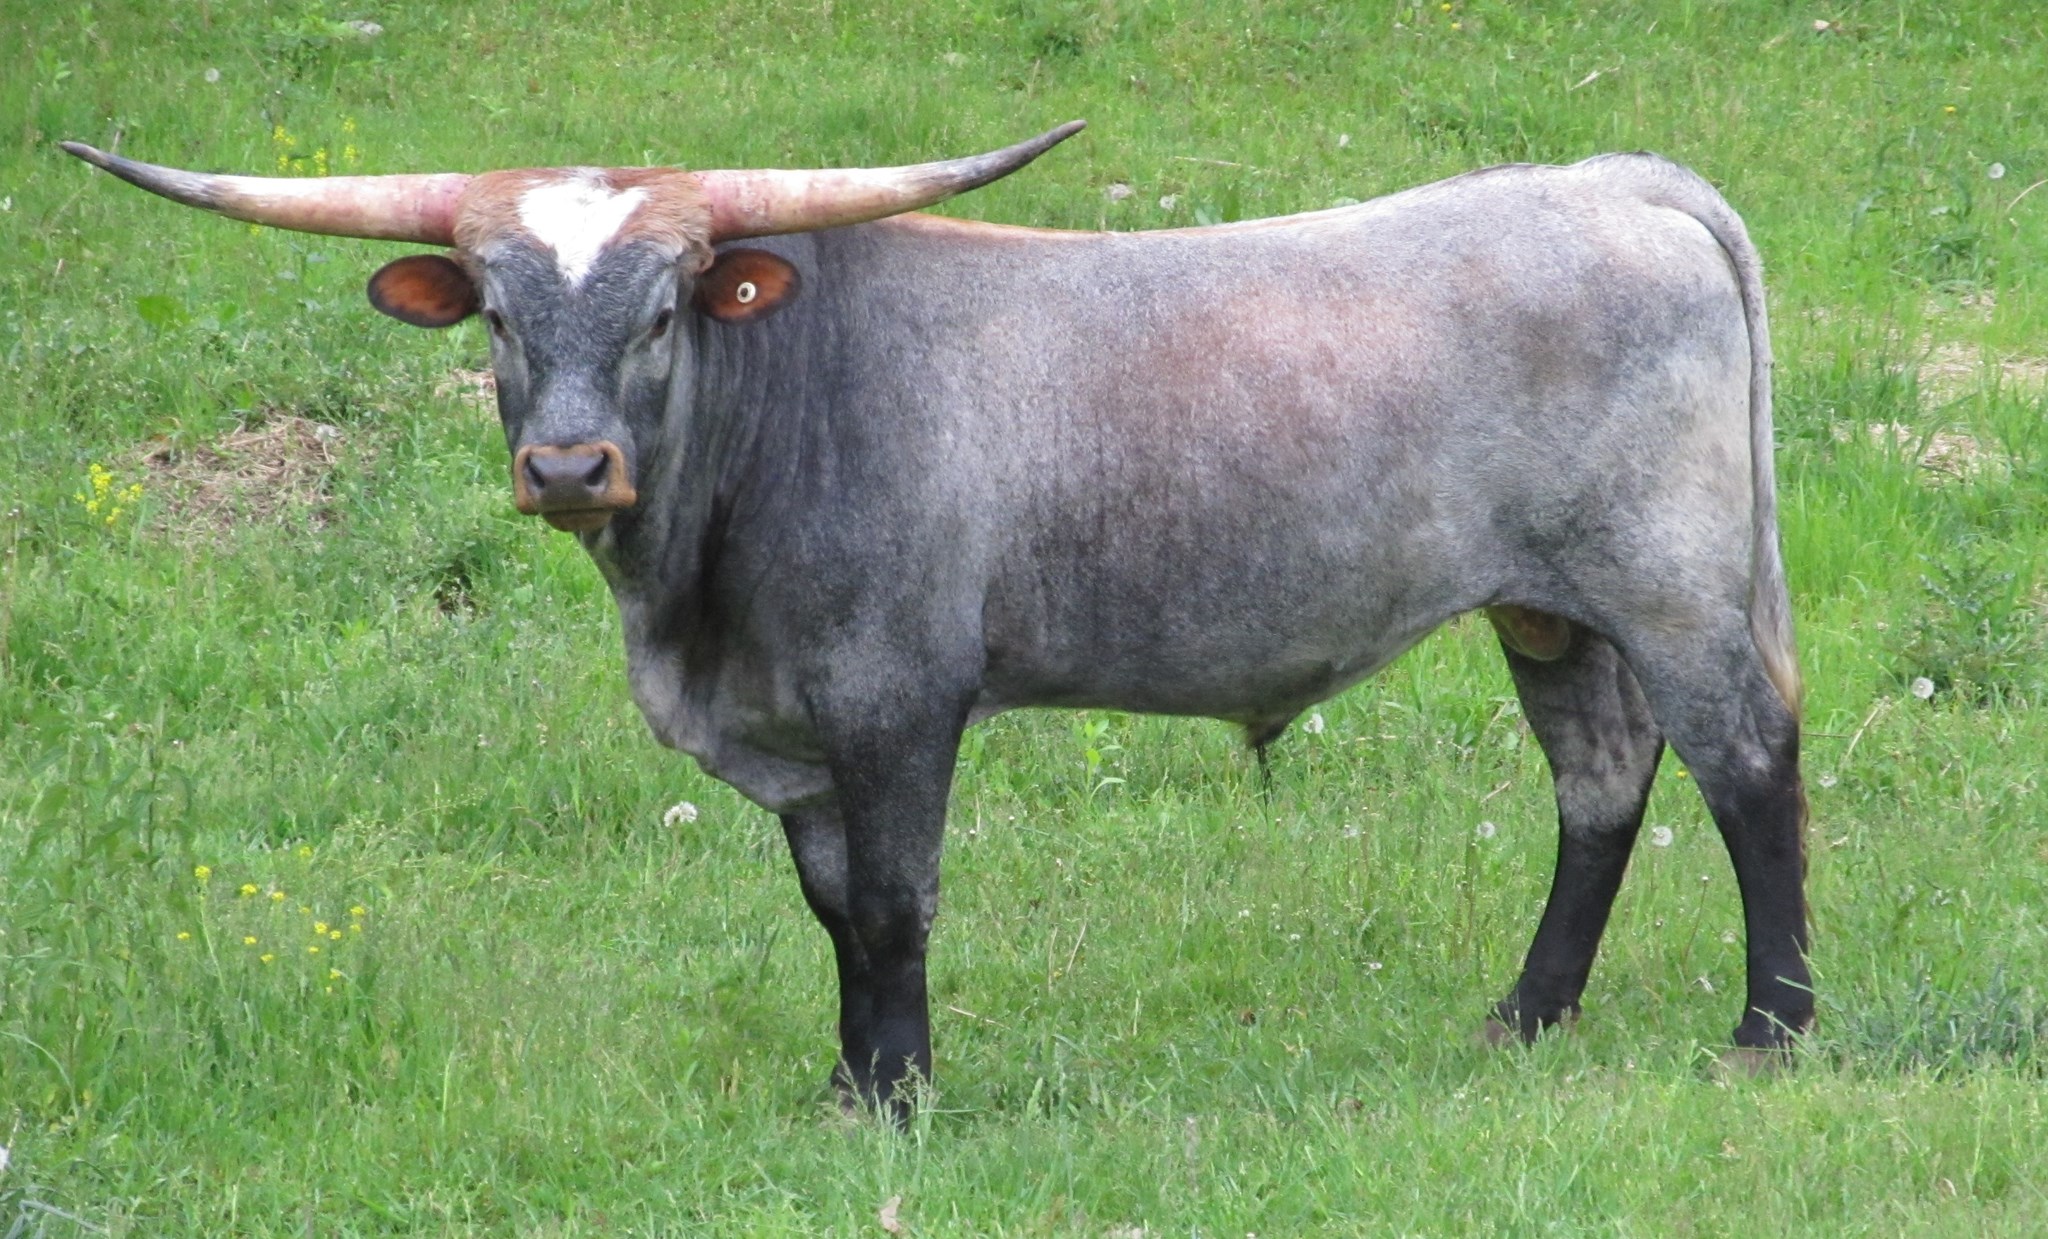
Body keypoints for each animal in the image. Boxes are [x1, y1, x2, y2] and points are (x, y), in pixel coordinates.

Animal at [64, 123, 1811, 1117]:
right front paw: (849, 1081)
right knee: (1600, 780)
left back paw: (1770, 1027)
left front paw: (902, 1093)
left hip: (1674, 584)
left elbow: (898, 904)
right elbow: (835, 907)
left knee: (1746, 765)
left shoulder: (895, 699)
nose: (568, 466)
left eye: (664, 309)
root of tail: (1618, 183)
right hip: (1549, 609)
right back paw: (1527, 1018)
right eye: (494, 310)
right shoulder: (798, 734)